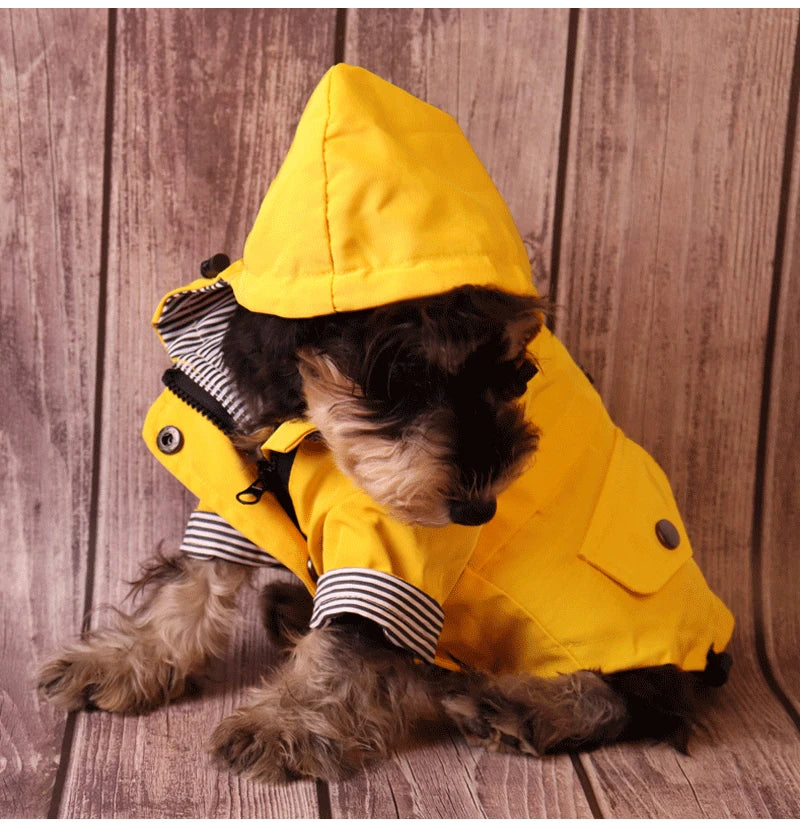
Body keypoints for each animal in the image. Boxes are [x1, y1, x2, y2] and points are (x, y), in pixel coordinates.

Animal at [39, 64, 736, 784]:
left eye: (516, 375)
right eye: (403, 376)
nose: (479, 509)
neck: (308, 424)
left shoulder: (396, 546)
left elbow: (350, 635)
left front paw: (285, 722)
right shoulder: (235, 493)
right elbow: (193, 579)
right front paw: (124, 658)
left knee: (637, 698)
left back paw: (514, 706)